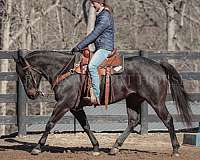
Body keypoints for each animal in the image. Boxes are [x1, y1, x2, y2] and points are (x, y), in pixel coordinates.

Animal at [13, 50, 192, 156]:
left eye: (25, 74)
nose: (31, 94)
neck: (65, 70)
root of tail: (159, 66)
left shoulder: (64, 104)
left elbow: (49, 123)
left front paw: (37, 147)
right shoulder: (76, 108)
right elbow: (86, 126)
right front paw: (96, 147)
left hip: (156, 102)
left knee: (168, 120)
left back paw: (175, 149)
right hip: (133, 99)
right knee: (133, 121)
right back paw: (115, 147)